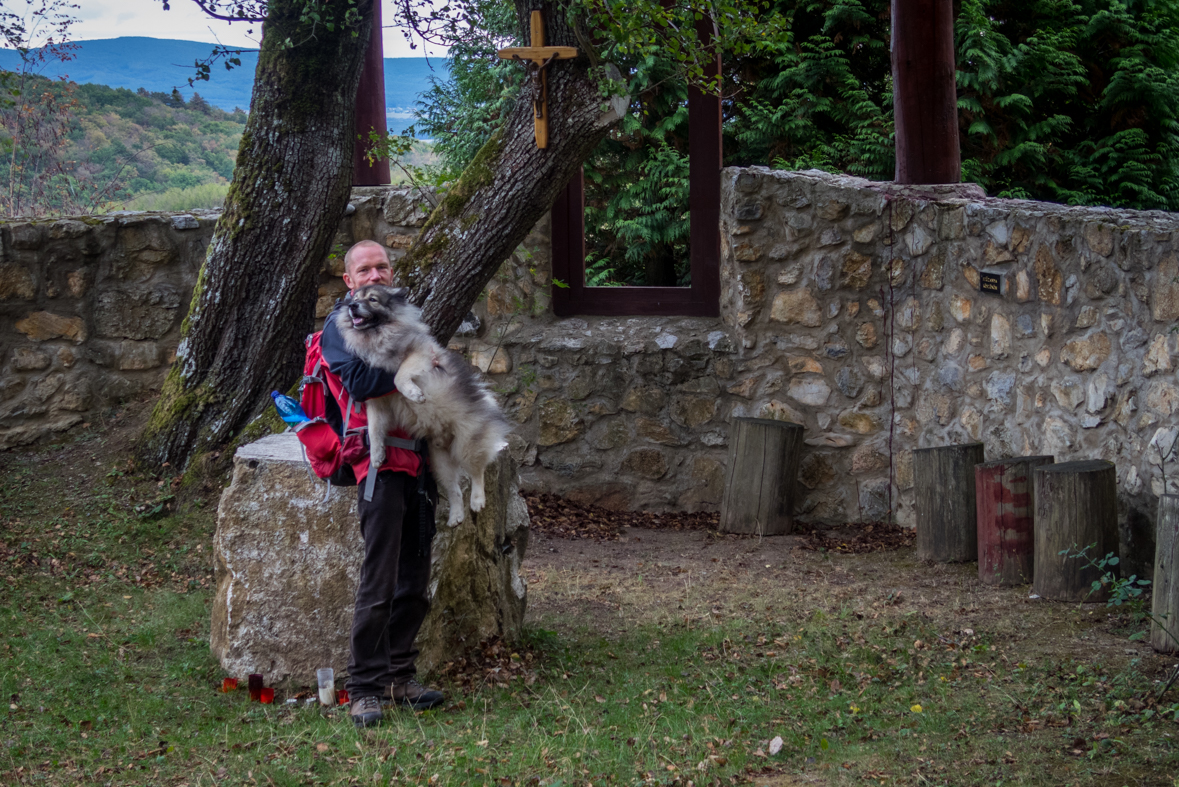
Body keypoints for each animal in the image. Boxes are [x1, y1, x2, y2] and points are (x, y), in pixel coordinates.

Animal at [337, 286, 511, 525]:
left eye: (372, 300)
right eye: (355, 298)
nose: (353, 306)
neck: (377, 335)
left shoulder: (420, 354)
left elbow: (398, 377)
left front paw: (413, 393)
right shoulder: (377, 403)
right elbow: (374, 429)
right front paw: (376, 455)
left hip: (466, 445)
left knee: (478, 472)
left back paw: (477, 501)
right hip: (439, 462)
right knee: (455, 490)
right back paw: (456, 516)